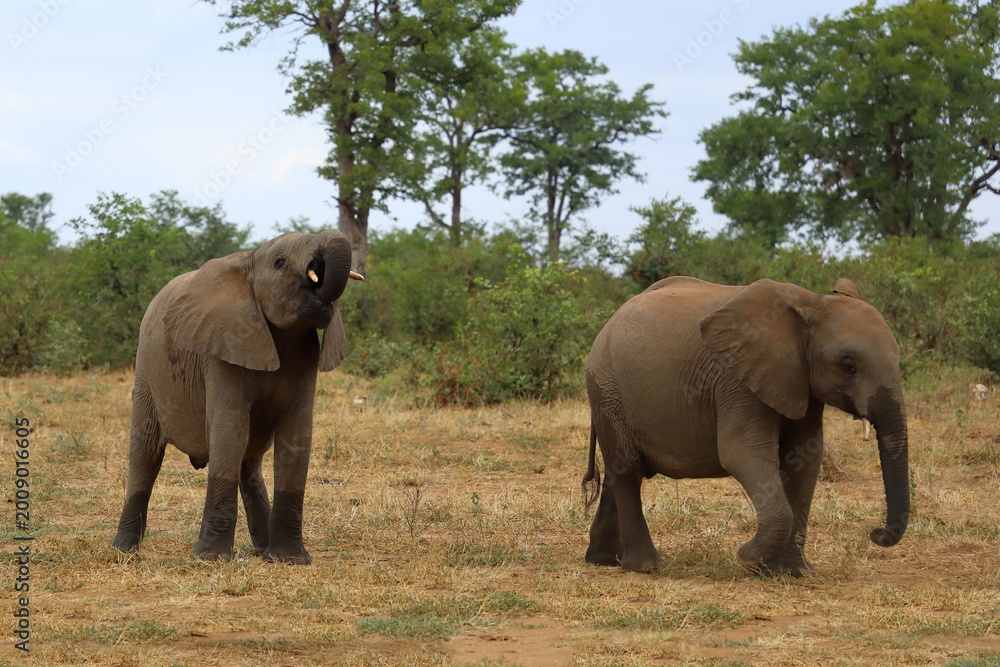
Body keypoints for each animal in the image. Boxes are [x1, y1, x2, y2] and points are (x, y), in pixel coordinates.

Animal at [111, 230, 363, 564]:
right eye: (280, 262)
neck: (249, 260)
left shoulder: (306, 353)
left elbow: (296, 437)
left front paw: (289, 560)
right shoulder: (221, 348)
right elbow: (229, 430)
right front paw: (211, 559)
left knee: (249, 463)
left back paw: (264, 550)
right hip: (146, 373)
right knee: (145, 454)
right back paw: (123, 551)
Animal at [581, 276, 909, 576]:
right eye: (847, 366)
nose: (876, 534)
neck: (813, 302)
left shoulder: (800, 382)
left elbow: (805, 460)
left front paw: (794, 571)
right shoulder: (736, 379)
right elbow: (741, 454)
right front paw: (749, 560)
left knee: (618, 472)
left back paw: (604, 560)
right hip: (608, 390)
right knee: (628, 471)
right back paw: (647, 567)